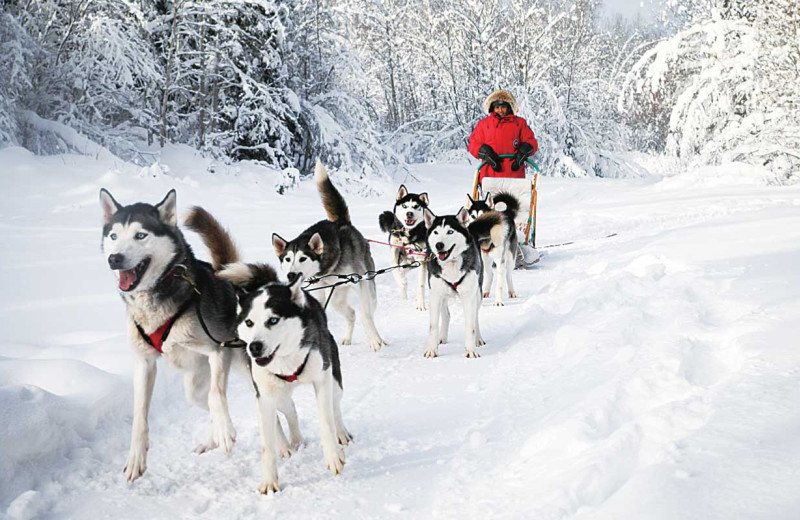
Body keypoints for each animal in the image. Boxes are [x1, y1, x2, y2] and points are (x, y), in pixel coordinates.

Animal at [100, 190, 244, 484]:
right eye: (114, 236)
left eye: (140, 235)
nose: (115, 258)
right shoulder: (144, 363)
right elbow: (139, 416)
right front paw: (136, 458)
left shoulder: (217, 349)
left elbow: (217, 394)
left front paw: (226, 432)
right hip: (193, 388)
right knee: (208, 402)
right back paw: (212, 439)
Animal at [217, 262, 348, 494]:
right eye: (249, 322)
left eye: (273, 320)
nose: (254, 347)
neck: (286, 362)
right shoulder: (264, 398)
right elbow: (267, 445)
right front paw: (269, 481)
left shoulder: (322, 380)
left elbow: (326, 422)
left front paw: (333, 456)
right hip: (278, 395)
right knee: (290, 410)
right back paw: (295, 441)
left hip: (333, 379)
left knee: (335, 406)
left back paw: (341, 433)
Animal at [272, 160, 388, 352]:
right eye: (287, 259)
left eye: (303, 258)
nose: (291, 274)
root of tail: (341, 221)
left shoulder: (361, 282)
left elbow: (365, 314)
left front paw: (374, 340)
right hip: (335, 298)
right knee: (351, 314)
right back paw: (347, 337)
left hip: (369, 289)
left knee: (369, 310)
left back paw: (379, 338)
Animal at [418, 207, 488, 358]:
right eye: (436, 232)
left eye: (450, 231)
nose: (439, 245)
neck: (451, 264)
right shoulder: (435, 295)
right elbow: (433, 325)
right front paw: (431, 349)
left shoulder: (469, 296)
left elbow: (470, 325)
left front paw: (471, 350)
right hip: (442, 295)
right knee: (446, 315)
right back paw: (442, 337)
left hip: (477, 294)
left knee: (475, 316)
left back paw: (478, 339)